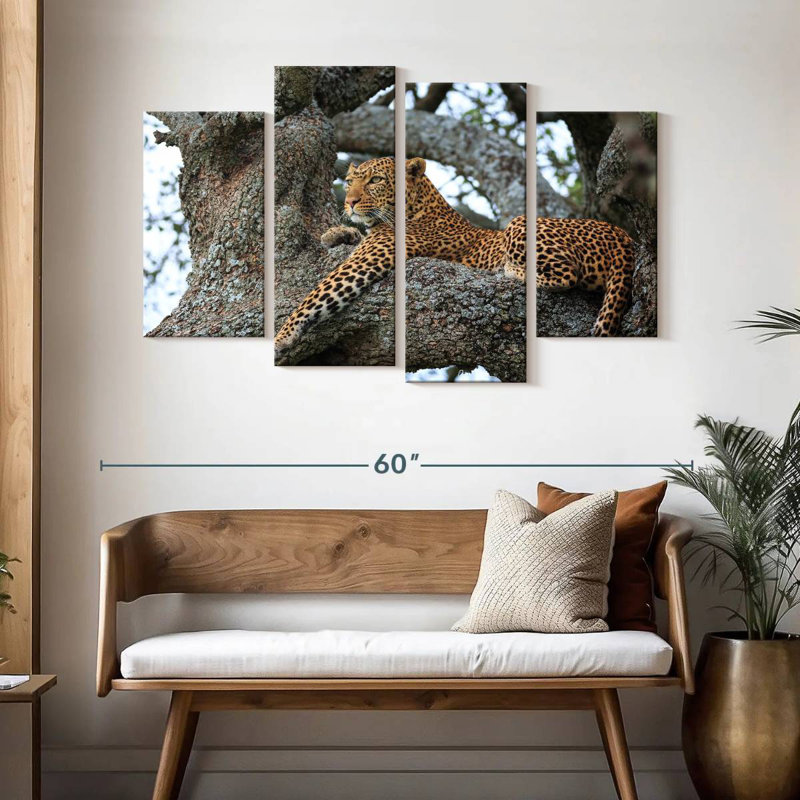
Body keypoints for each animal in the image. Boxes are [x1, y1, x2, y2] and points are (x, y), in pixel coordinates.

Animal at [274, 156, 633, 354]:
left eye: (375, 180)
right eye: (349, 181)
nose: (348, 202)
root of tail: (623, 237)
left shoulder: (367, 260)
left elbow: (317, 295)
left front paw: (280, 337)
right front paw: (336, 232)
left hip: (522, 223)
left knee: (566, 275)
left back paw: (510, 269)